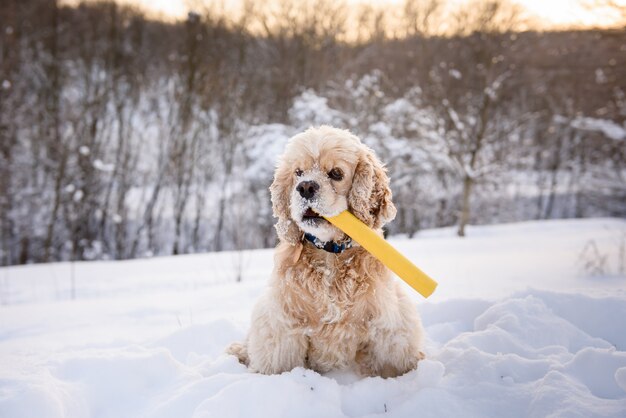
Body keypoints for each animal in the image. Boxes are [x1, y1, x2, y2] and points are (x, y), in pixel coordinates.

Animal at [227, 125, 426, 378]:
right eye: (298, 172)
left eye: (336, 173)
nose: (305, 187)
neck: (330, 255)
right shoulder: (282, 328)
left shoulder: (386, 327)